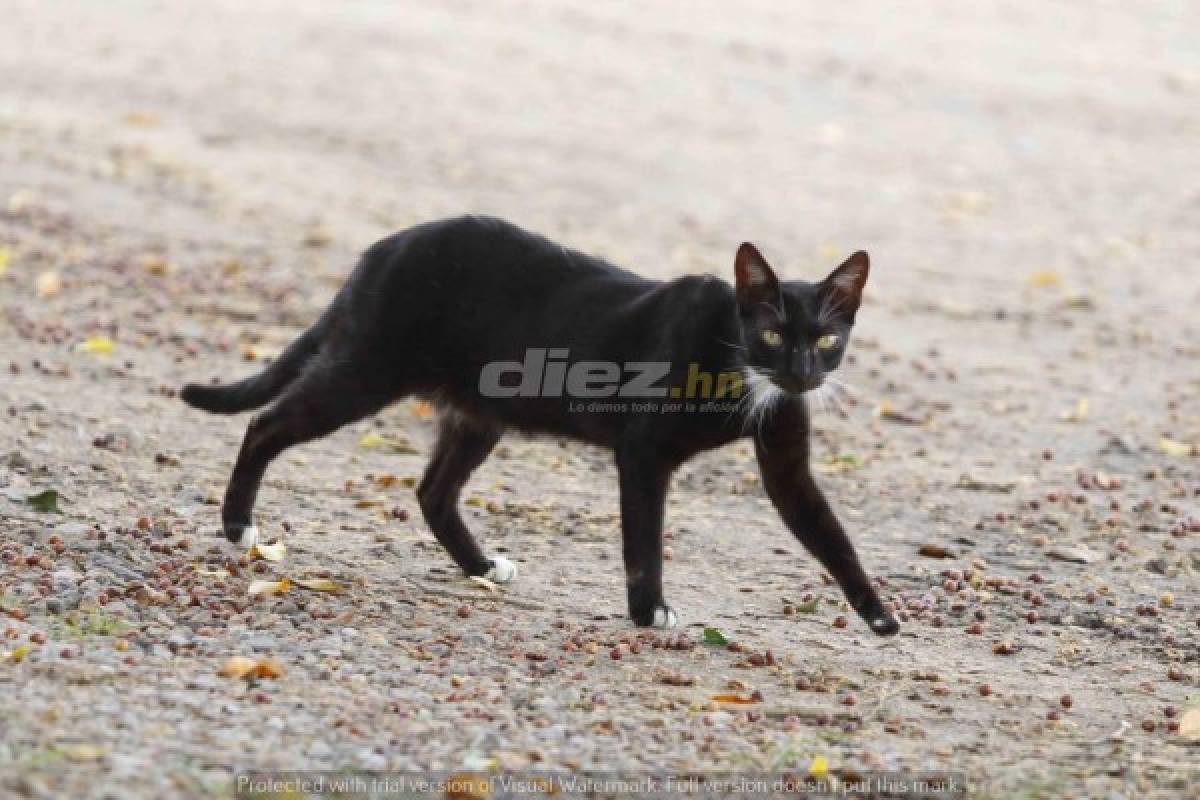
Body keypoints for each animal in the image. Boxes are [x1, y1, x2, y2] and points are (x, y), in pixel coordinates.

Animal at [182, 215, 902, 633]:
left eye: (828, 339)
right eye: (775, 333)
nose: (804, 372)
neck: (740, 367)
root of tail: (382, 248)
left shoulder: (786, 461)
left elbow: (828, 533)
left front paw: (879, 615)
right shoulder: (644, 453)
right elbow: (645, 540)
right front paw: (650, 612)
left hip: (481, 410)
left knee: (433, 491)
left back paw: (481, 567)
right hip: (366, 371)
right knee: (267, 424)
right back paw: (238, 526)